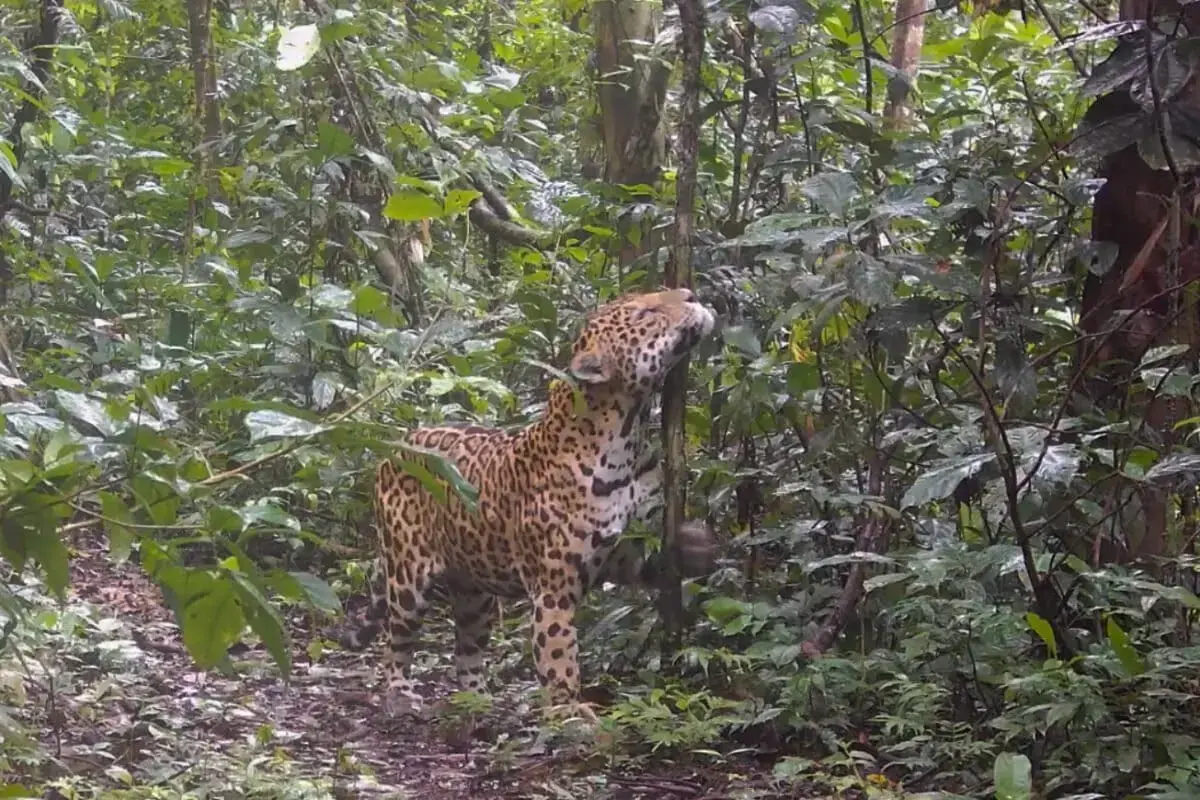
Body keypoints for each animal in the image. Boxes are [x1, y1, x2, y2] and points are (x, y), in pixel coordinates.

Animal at [343, 288, 718, 718]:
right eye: (646, 313)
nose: (691, 293)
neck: (626, 434)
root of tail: (394, 448)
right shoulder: (554, 587)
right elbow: (558, 653)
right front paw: (569, 712)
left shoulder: (624, 551)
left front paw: (696, 547)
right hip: (408, 575)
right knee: (396, 641)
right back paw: (400, 693)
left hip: (474, 590)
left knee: (465, 649)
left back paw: (479, 700)